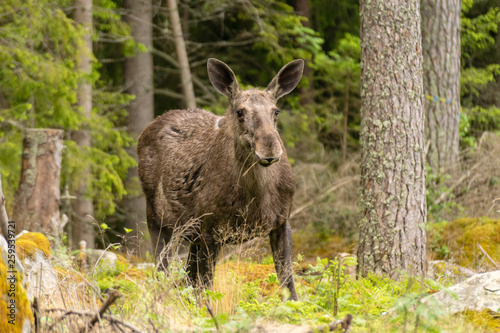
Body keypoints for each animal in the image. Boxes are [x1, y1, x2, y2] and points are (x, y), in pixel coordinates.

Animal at [139, 58, 306, 300]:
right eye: (239, 112)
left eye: (276, 111)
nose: (269, 149)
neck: (257, 196)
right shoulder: (210, 229)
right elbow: (206, 287)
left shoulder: (282, 221)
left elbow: (288, 283)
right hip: (157, 218)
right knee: (162, 270)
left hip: (191, 233)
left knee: (187, 276)